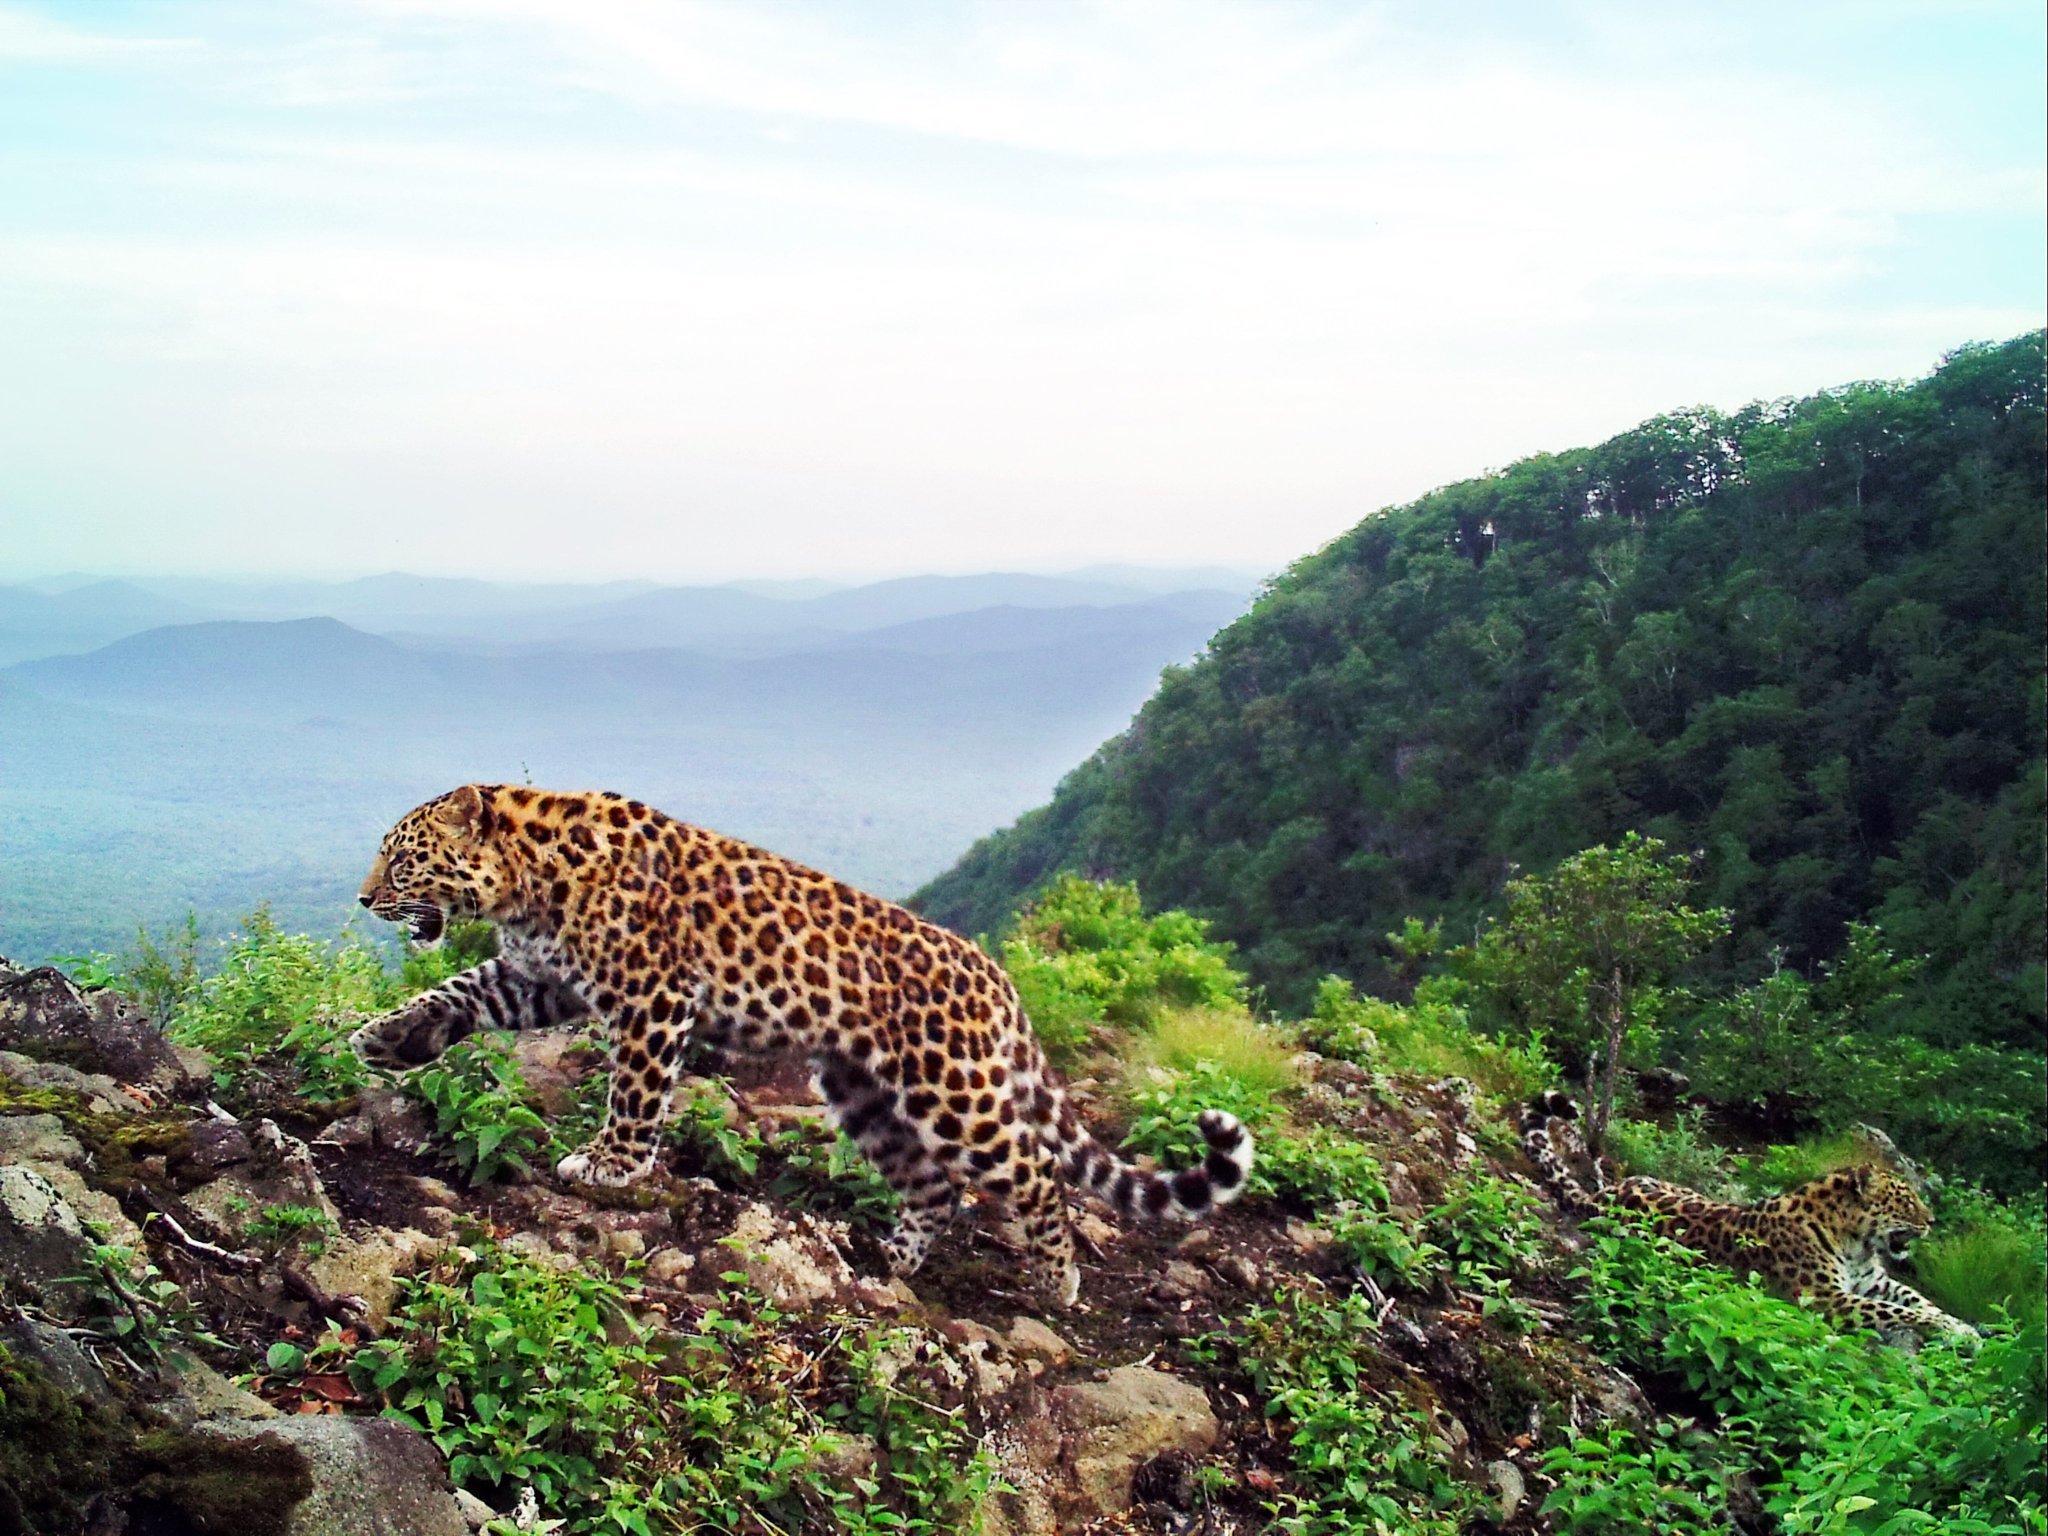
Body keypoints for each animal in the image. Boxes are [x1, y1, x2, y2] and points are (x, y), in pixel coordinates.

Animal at [350, 786, 1245, 1302]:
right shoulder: (545, 976)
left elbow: (633, 1088)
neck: (527, 878)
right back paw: (892, 1261)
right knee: (933, 1188)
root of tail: (1000, 981)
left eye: (401, 859)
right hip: (865, 1092)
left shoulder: (650, 994)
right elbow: (461, 989)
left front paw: (609, 1165)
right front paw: (390, 1037)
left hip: (954, 1091)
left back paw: (1057, 1277)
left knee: (1034, 1172)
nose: (362, 900)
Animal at [1523, 1097, 1966, 1343]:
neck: (1856, 1243)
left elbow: (1915, 1299)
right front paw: (1953, 1330)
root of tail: (1606, 1193)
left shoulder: (1874, 1281)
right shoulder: (1824, 1299)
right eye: (1905, 1200)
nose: (1931, 1220)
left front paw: (1959, 1324)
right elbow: (1897, 1311)